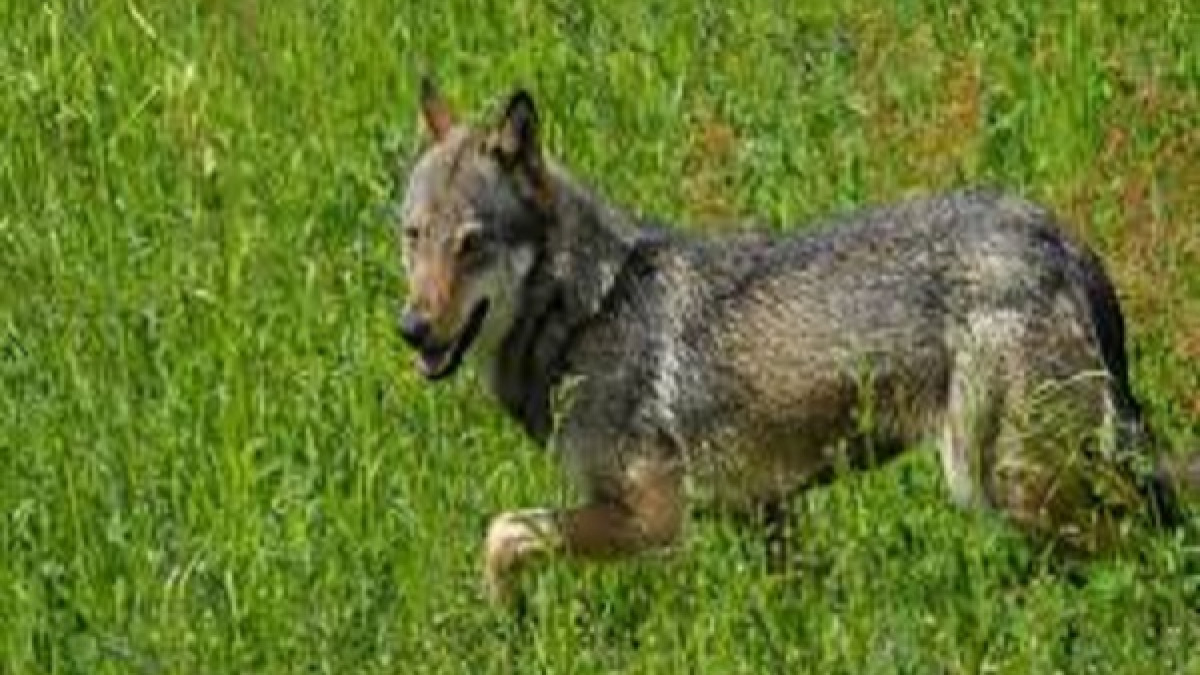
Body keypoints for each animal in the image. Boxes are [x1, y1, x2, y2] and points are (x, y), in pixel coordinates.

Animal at [395, 79, 1198, 606]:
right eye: (413, 237)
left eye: (471, 244)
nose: (411, 329)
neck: (587, 312)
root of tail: (1060, 240)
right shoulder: (768, 516)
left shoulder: (653, 520)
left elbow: (501, 532)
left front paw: (508, 625)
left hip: (1004, 485)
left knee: (1150, 550)